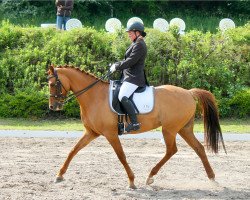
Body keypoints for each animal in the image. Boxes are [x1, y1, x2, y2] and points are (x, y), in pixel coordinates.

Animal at [47, 65, 226, 188]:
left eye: (53, 84)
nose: (53, 107)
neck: (94, 96)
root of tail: (188, 92)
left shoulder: (110, 134)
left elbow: (121, 156)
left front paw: (132, 181)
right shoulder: (91, 132)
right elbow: (73, 150)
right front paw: (59, 175)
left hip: (169, 129)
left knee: (172, 150)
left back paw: (150, 176)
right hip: (184, 129)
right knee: (198, 148)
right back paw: (212, 177)